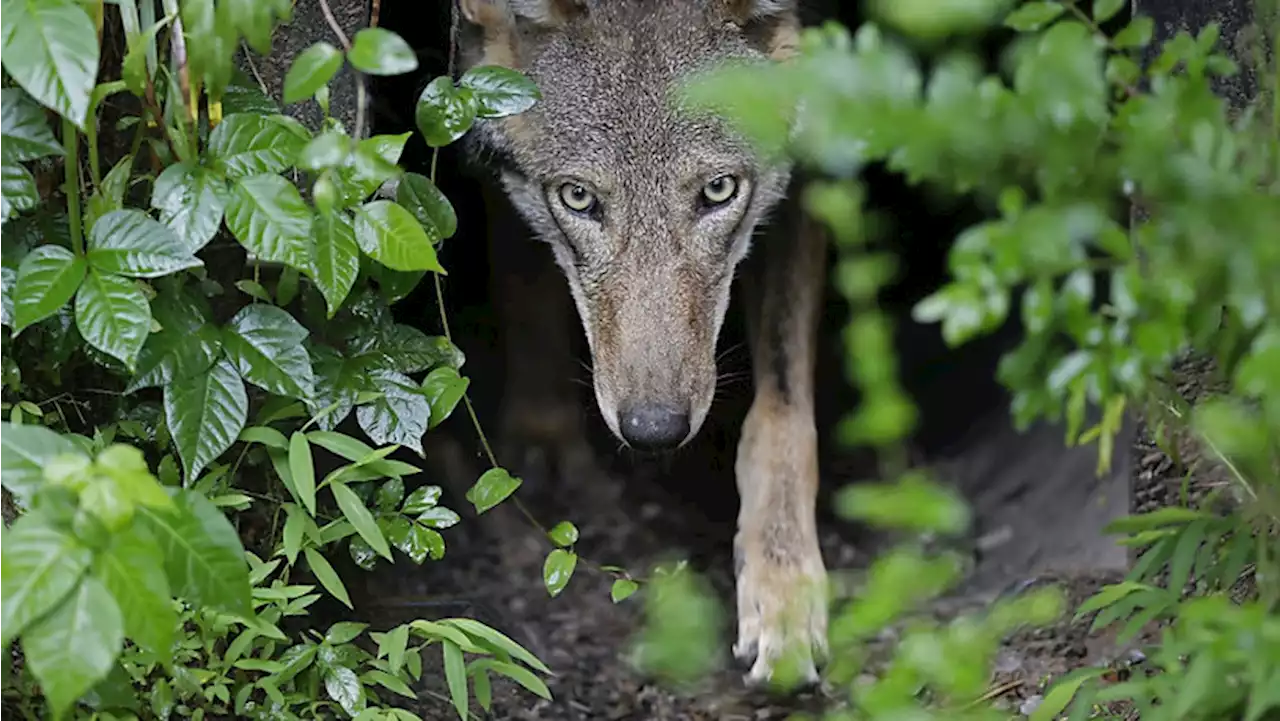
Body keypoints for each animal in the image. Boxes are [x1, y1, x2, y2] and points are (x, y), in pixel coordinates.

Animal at [460, 0, 829, 686]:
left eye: (719, 190)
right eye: (577, 197)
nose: (653, 430)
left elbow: (782, 412)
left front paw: (783, 588)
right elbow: (523, 279)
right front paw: (542, 436)